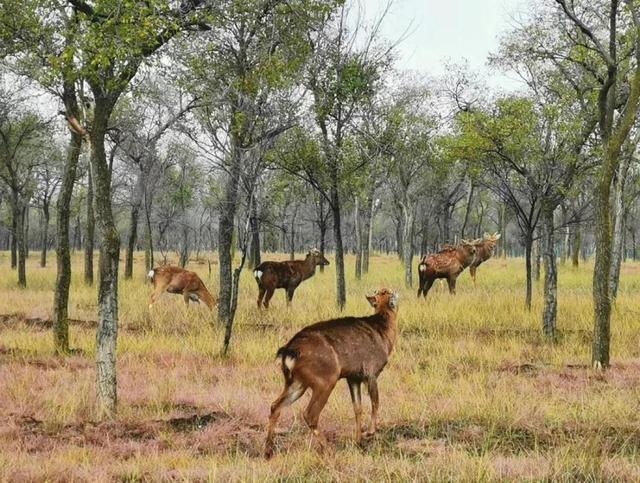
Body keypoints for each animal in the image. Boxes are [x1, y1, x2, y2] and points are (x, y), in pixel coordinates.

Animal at [262, 290, 398, 460]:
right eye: (387, 292)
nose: (394, 293)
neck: (383, 333)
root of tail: (288, 352)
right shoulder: (371, 372)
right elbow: (375, 402)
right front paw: (370, 433)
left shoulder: (353, 377)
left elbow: (357, 408)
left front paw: (358, 440)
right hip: (325, 380)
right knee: (309, 414)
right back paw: (328, 450)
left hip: (297, 382)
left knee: (275, 405)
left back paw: (268, 451)